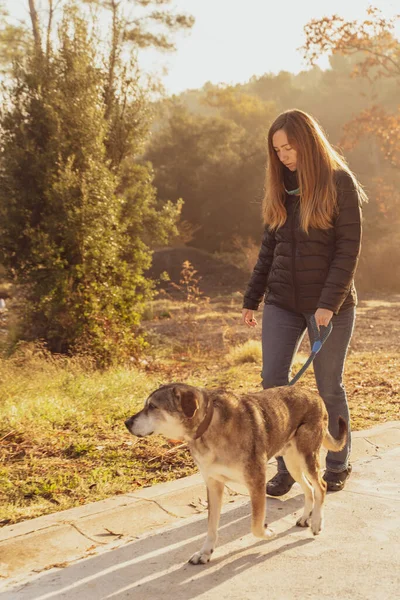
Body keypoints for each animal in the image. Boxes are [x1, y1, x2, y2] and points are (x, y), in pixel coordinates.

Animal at [125, 384, 346, 564]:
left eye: (153, 407)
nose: (127, 422)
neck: (208, 426)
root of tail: (314, 394)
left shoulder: (256, 481)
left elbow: (256, 525)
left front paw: (268, 532)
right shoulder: (213, 484)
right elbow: (211, 526)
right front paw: (205, 553)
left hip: (306, 457)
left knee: (321, 486)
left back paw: (316, 522)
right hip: (292, 463)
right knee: (309, 488)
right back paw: (306, 518)